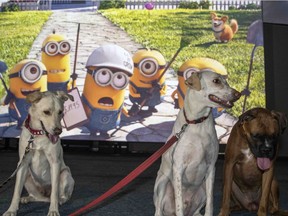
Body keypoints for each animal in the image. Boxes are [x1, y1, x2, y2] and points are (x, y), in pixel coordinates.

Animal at [153, 70, 241, 215]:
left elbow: (210, 204)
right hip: (163, 182)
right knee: (159, 209)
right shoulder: (178, 168)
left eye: (226, 81)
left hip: (202, 189)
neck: (197, 122)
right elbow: (179, 205)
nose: (238, 94)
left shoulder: (211, 167)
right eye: (216, 81)